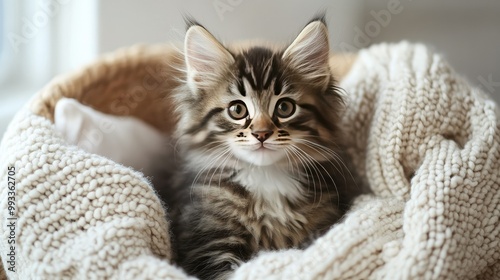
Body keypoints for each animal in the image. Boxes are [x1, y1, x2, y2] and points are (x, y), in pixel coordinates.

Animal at [170, 17, 362, 280]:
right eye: (237, 110)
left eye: (284, 107)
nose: (261, 133)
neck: (266, 178)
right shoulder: (207, 244)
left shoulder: (320, 226)